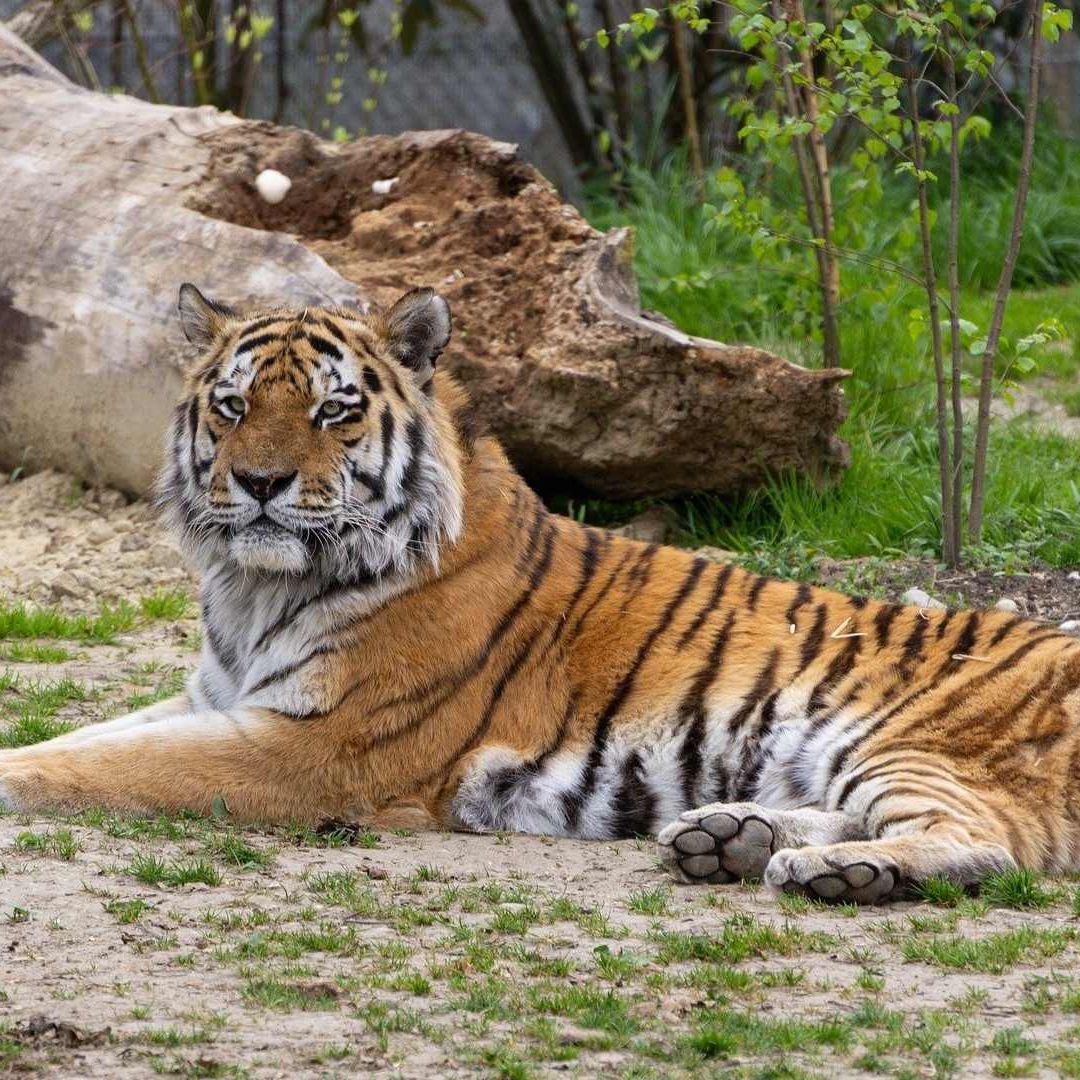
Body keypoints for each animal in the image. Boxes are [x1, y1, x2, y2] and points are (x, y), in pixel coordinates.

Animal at [1, 282, 1079, 904]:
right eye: (230, 406)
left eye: (333, 411)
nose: (259, 482)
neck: (252, 587)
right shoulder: (216, 699)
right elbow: (85, 739)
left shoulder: (315, 749)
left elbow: (100, 768)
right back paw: (729, 836)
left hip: (906, 741)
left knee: (992, 843)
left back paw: (828, 871)